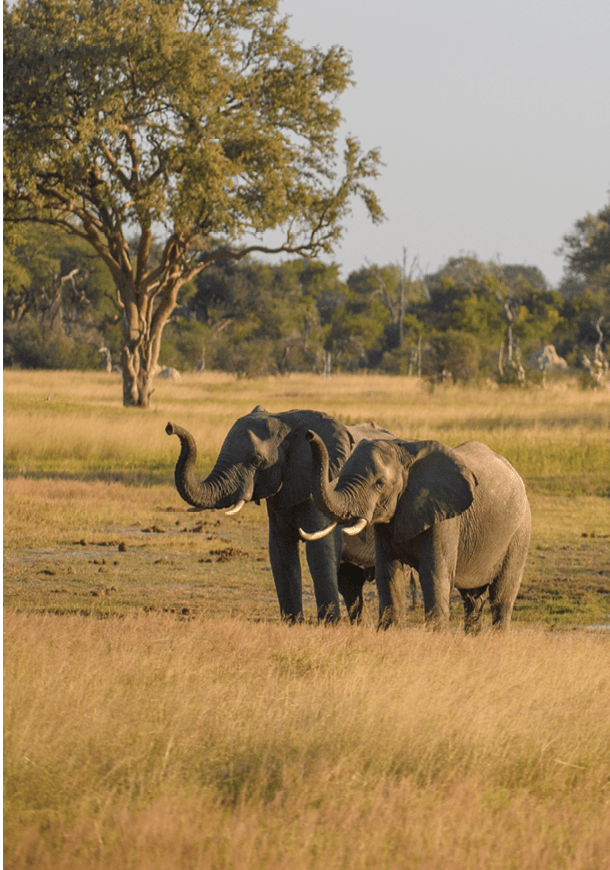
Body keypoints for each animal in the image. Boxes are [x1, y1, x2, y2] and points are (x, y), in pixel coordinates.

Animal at [166, 406, 410, 624]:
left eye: (256, 461)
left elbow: (320, 551)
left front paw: (328, 626)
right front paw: (293, 623)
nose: (170, 427)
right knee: (349, 581)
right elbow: (280, 551)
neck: (286, 421)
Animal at [304, 432, 531, 632]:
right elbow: (388, 572)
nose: (309, 435)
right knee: (473, 598)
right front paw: (389, 632)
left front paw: (435, 636)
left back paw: (496, 637)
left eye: (380, 484)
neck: (405, 452)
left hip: (519, 532)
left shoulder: (446, 516)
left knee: (502, 595)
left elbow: (434, 573)